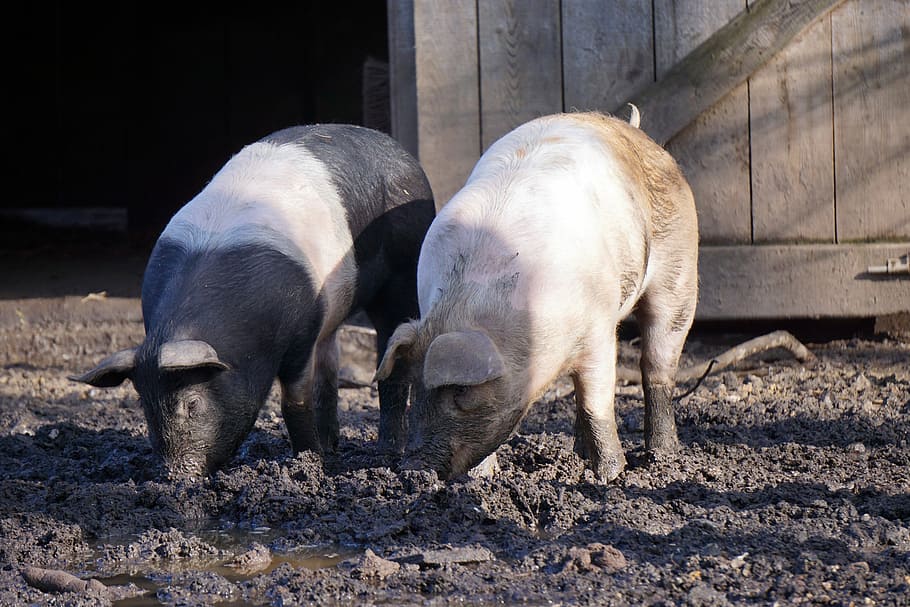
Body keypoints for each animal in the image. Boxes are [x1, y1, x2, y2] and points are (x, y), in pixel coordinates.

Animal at [73, 124, 436, 480]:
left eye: (192, 403)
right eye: (143, 404)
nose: (175, 476)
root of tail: (400, 151)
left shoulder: (302, 329)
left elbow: (294, 401)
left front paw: (309, 464)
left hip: (403, 272)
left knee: (389, 355)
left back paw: (386, 451)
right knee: (330, 362)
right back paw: (332, 445)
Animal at [374, 111, 700, 482]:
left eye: (460, 391)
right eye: (415, 383)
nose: (412, 469)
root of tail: (634, 130)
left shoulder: (598, 330)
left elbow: (596, 403)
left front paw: (611, 477)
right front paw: (482, 479)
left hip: (680, 272)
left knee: (657, 366)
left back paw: (663, 457)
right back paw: (579, 455)